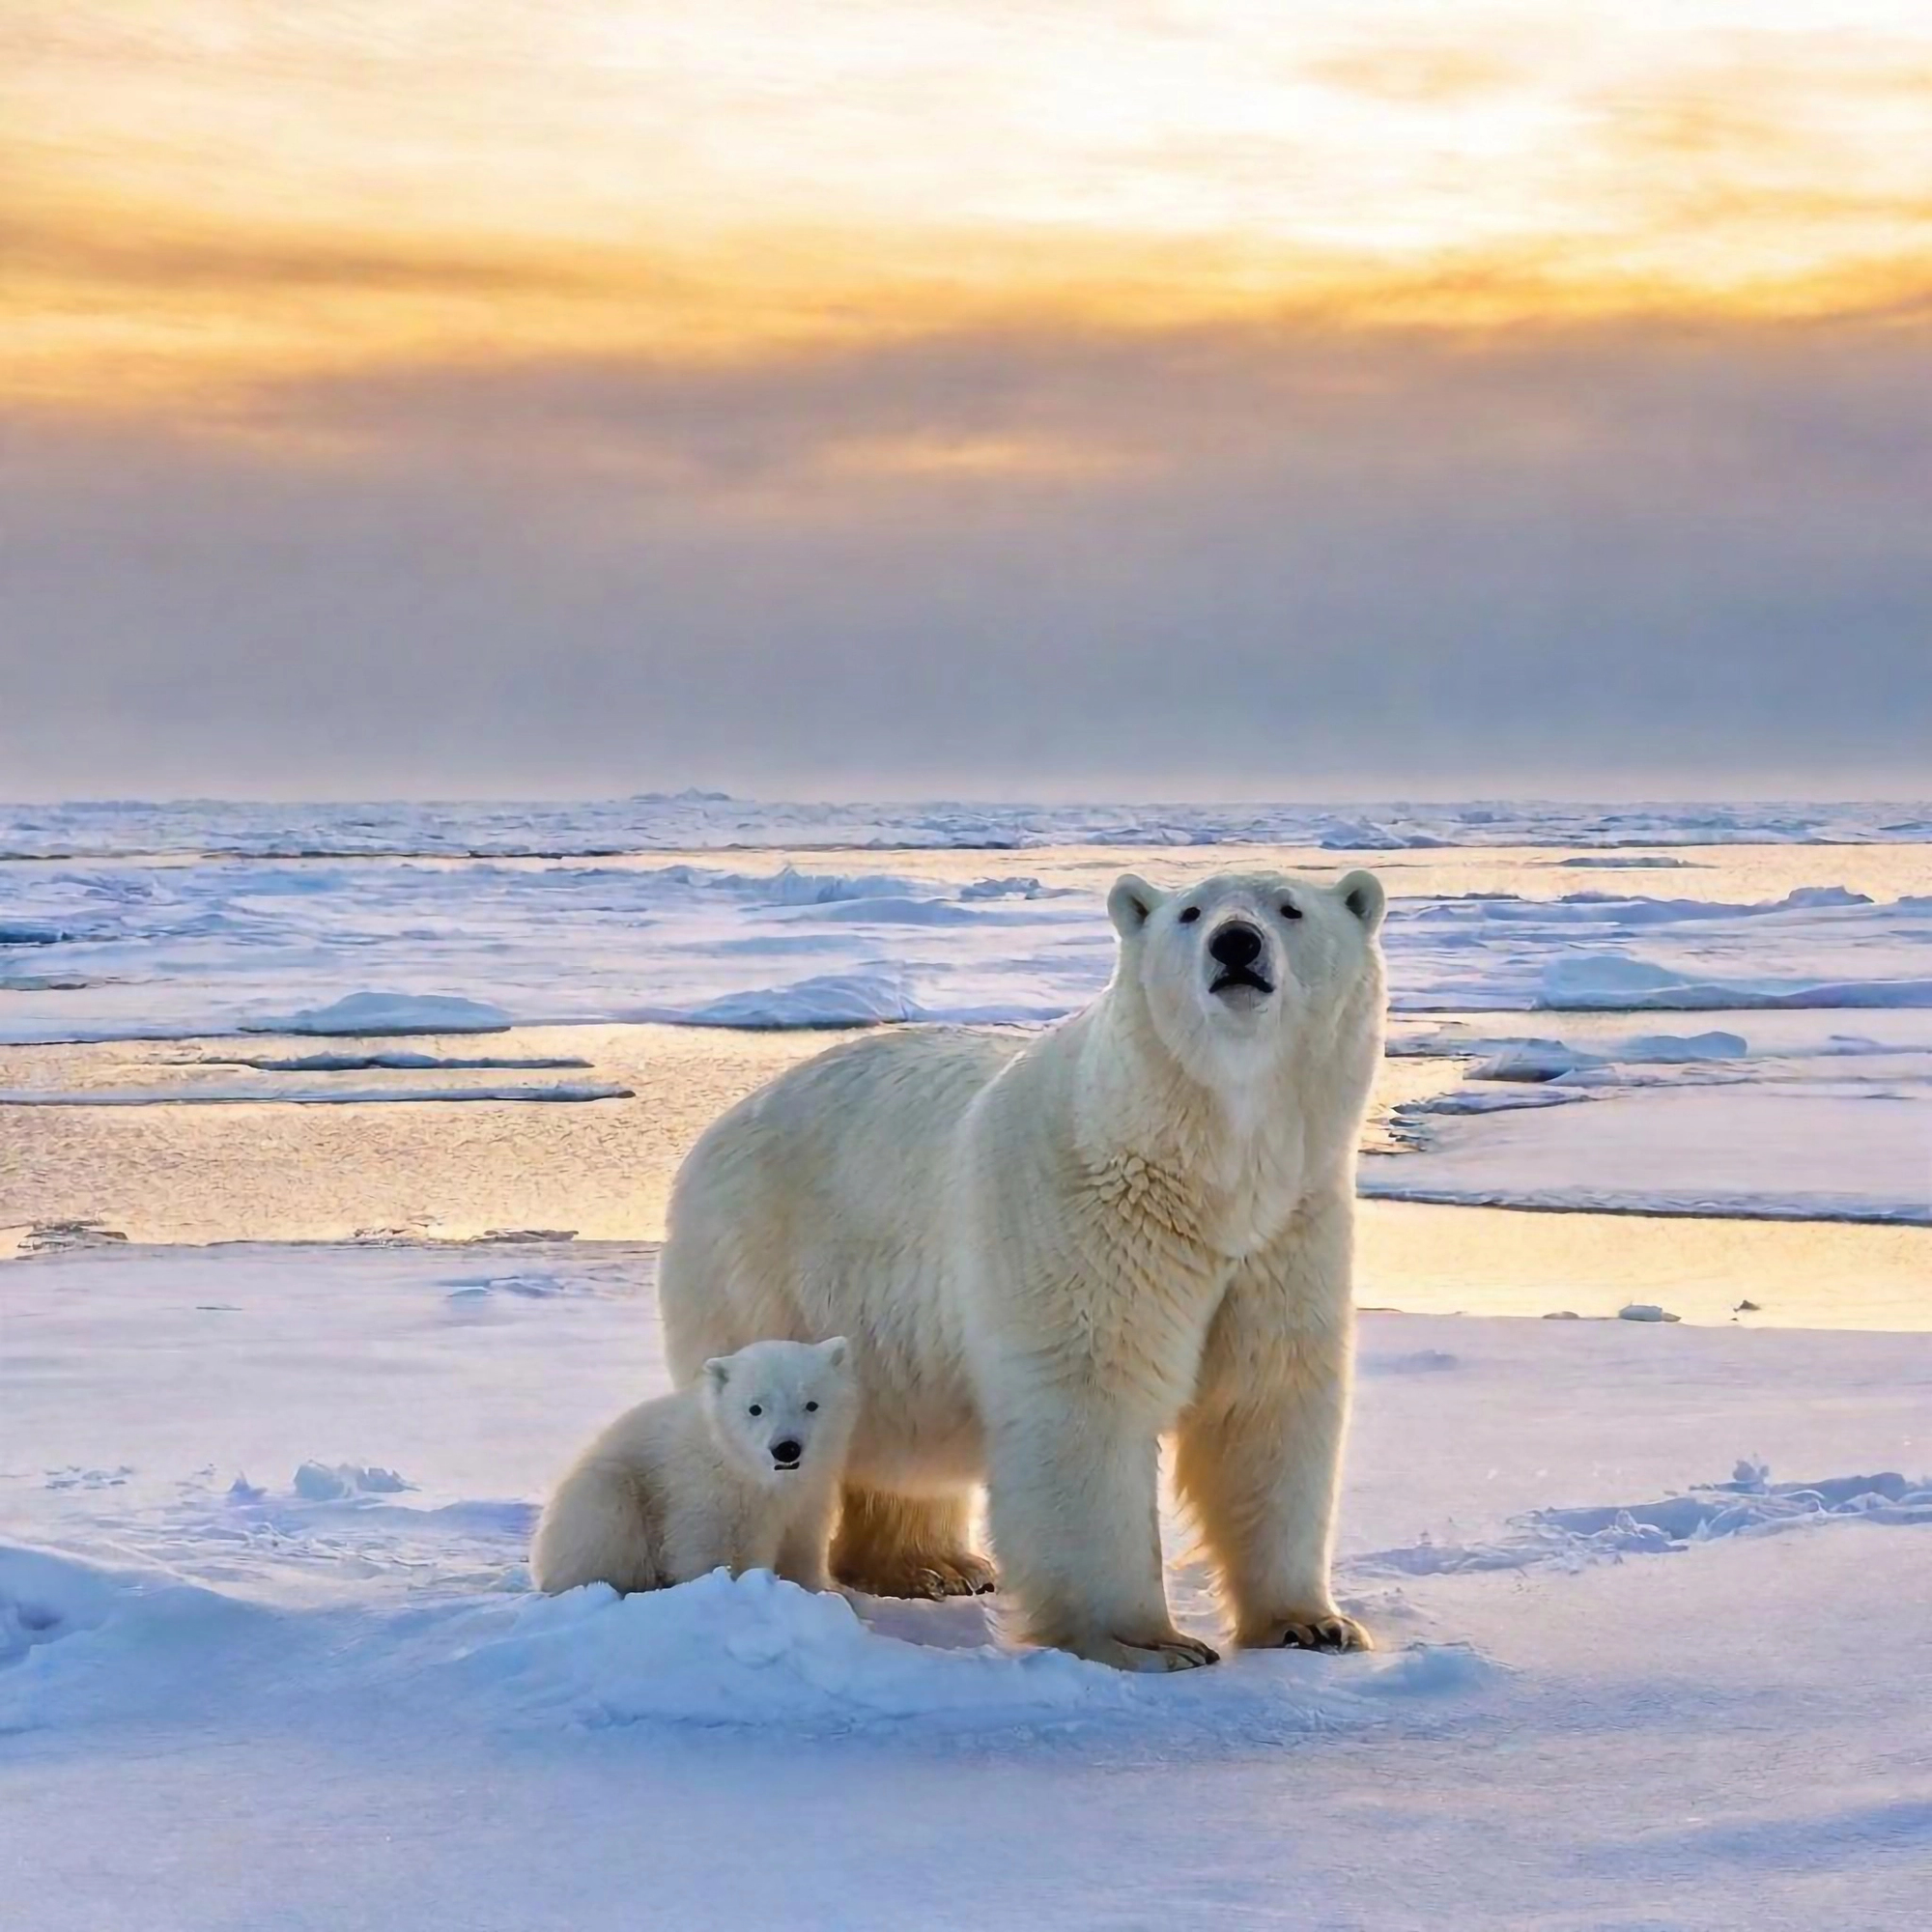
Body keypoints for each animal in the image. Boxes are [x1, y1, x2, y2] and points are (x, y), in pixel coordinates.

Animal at [529, 1336, 856, 1596]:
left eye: (811, 1404)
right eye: (755, 1408)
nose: (786, 1448)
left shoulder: (809, 1493)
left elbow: (803, 1543)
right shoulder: (703, 1492)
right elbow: (705, 1548)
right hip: (603, 1498)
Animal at [657, 868, 1386, 1671]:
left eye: (1290, 908)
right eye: (1191, 912)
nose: (1236, 944)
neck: (1199, 1172)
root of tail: (719, 1127)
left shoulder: (1287, 1233)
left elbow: (1267, 1407)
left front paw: (1314, 1625)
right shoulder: (1083, 1224)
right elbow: (1089, 1406)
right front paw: (1146, 1641)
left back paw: (935, 1566)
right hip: (760, 1268)